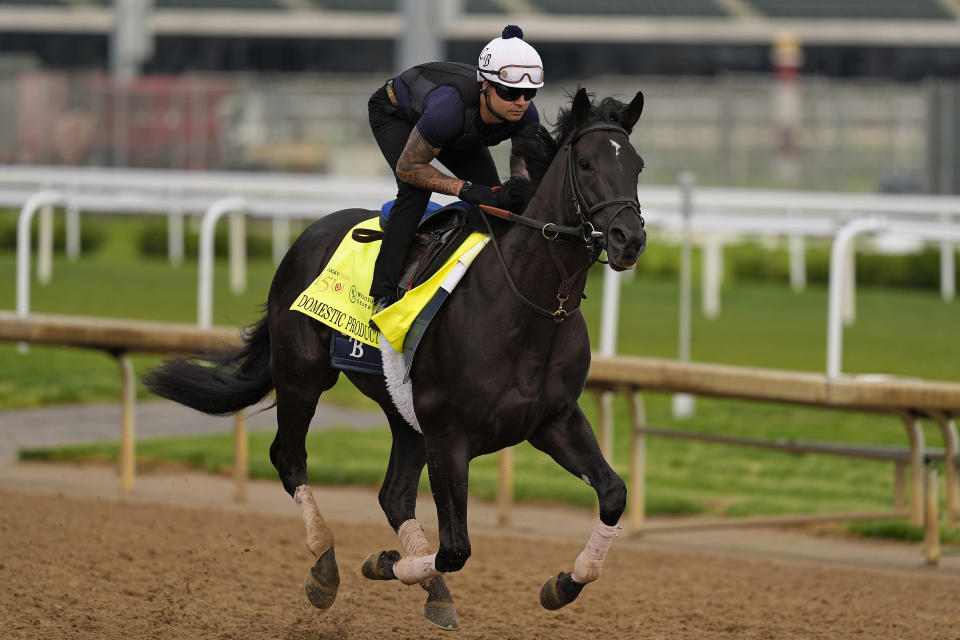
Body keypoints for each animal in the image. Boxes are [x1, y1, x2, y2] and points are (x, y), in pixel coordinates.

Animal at [146, 89, 644, 632]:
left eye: (637, 165)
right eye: (586, 163)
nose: (629, 239)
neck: (525, 306)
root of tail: (308, 233)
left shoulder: (553, 420)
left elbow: (613, 493)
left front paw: (563, 583)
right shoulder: (448, 434)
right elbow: (455, 548)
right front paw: (383, 562)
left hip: (402, 410)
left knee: (393, 494)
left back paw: (426, 587)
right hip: (303, 376)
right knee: (290, 459)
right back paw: (325, 568)